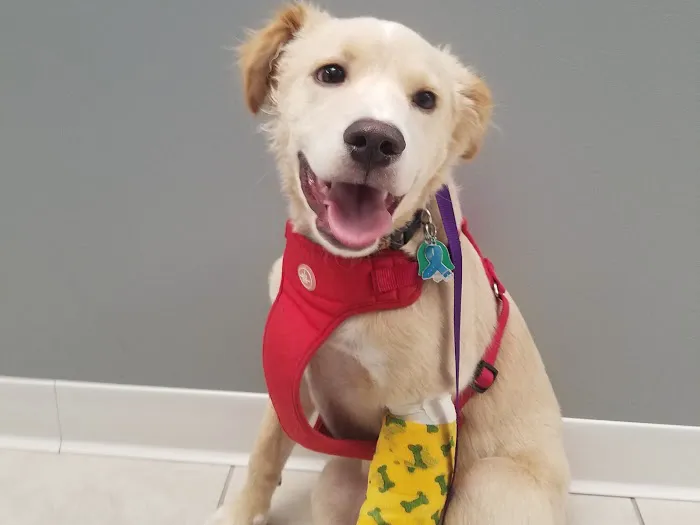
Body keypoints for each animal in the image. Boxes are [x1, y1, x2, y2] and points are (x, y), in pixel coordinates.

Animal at [208, 3, 570, 524]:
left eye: (426, 99)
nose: (376, 141)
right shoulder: (291, 370)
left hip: (489, 482)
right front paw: (241, 512)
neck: (349, 272)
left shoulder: (420, 409)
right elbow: (265, 450)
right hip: (334, 482)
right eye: (331, 73)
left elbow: (394, 503)